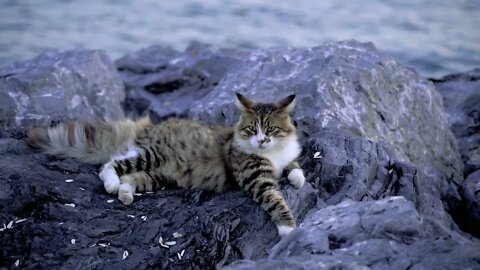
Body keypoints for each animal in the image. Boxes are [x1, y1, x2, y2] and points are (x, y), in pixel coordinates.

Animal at [28, 93, 306, 236]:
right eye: (251, 129)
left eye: (270, 129)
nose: (261, 140)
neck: (273, 153)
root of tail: (150, 127)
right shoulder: (257, 179)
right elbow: (276, 201)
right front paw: (289, 229)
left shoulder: (285, 159)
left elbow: (294, 166)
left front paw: (298, 178)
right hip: (153, 155)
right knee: (110, 165)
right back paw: (111, 185)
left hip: (158, 175)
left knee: (130, 179)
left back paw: (125, 194)